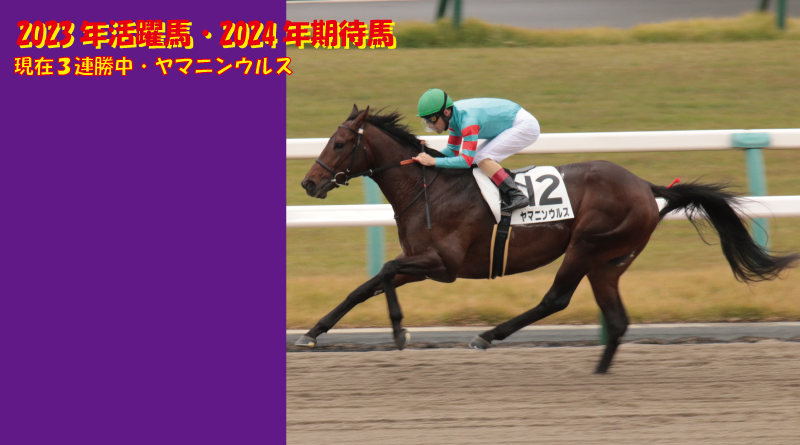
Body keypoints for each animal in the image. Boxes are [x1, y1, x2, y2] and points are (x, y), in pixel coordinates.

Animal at [297, 105, 799, 374]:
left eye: (339, 143)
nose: (308, 183)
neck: (429, 187)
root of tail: (645, 185)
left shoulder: (443, 266)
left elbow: (382, 272)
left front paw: (394, 330)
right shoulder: (421, 260)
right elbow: (367, 285)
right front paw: (317, 334)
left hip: (587, 246)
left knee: (556, 299)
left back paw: (488, 336)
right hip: (609, 261)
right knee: (616, 320)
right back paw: (598, 373)